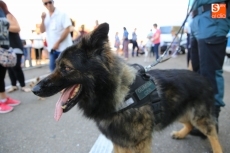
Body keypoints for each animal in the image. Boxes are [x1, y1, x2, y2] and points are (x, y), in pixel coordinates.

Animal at [32, 22, 223, 153]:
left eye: (66, 68)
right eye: (57, 65)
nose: (35, 90)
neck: (120, 94)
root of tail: (201, 77)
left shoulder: (138, 144)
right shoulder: (119, 142)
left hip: (199, 117)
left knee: (213, 133)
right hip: (180, 112)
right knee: (190, 124)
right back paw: (181, 133)